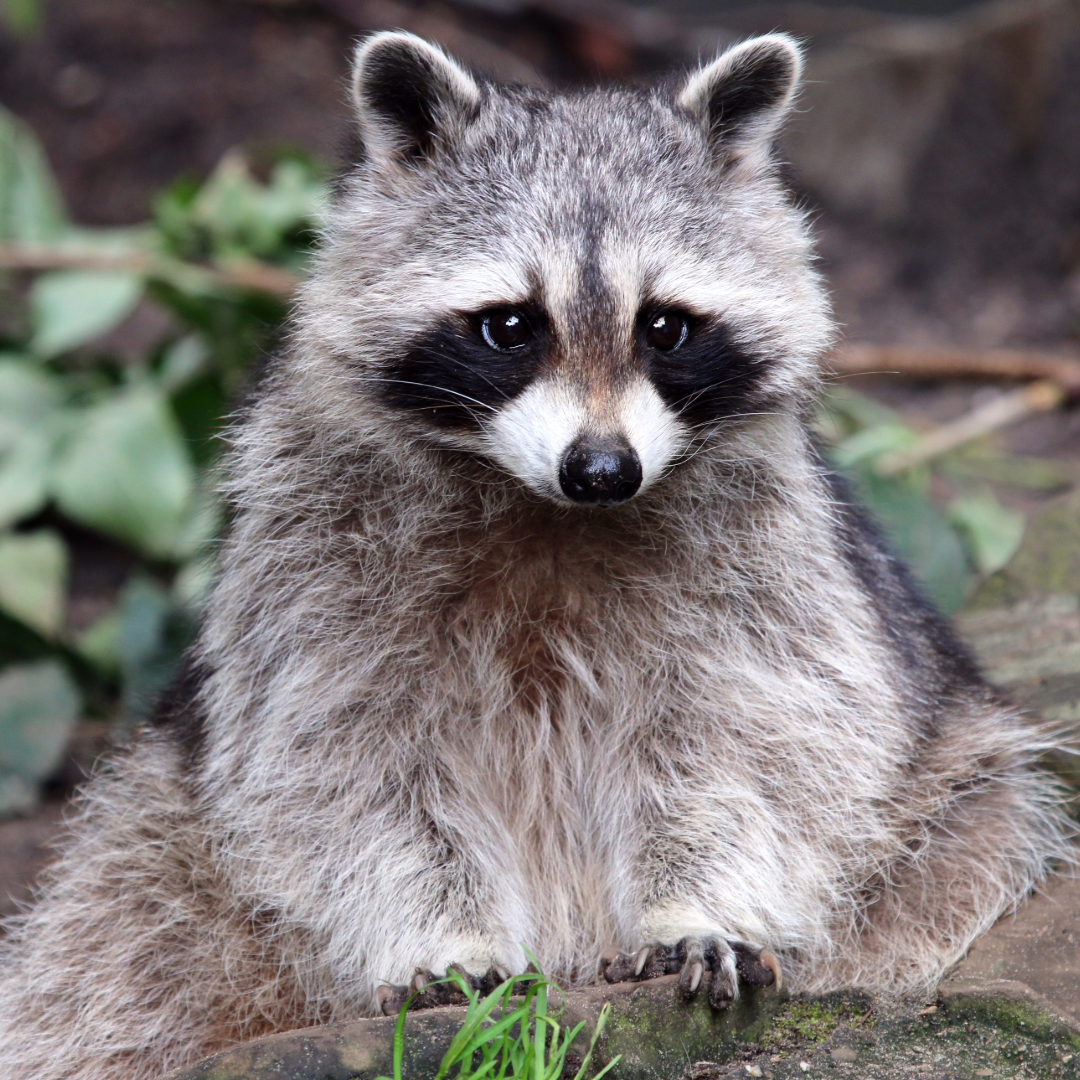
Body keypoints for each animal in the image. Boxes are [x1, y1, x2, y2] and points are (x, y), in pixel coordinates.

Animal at [0, 30, 1070, 1080]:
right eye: (511, 325)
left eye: (664, 325)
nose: (602, 469)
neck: (549, 512)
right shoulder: (310, 570)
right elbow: (345, 774)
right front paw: (442, 938)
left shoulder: (771, 573)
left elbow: (754, 745)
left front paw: (695, 905)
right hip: (159, 842)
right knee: (119, 951)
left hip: (960, 787)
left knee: (958, 848)